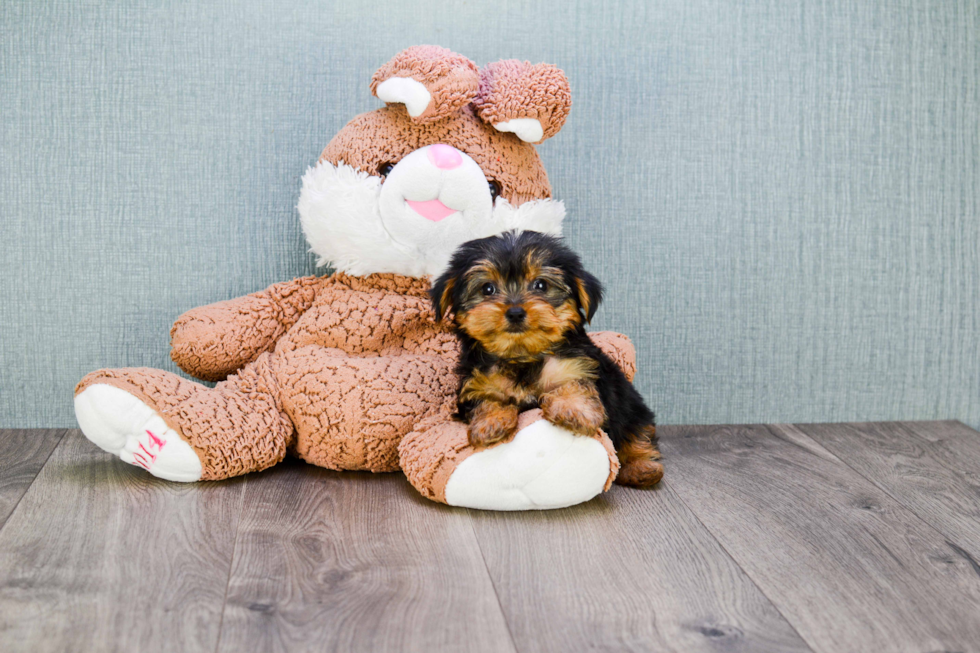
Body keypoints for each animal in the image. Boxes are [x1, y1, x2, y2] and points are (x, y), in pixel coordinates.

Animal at [432, 228, 664, 484]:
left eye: (541, 285)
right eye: (487, 289)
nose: (515, 312)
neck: (523, 356)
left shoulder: (578, 365)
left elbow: (577, 384)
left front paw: (573, 409)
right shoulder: (477, 383)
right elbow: (485, 399)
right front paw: (490, 422)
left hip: (630, 403)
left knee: (636, 430)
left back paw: (642, 467)